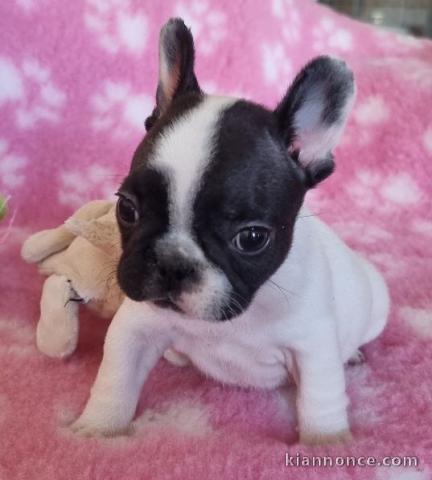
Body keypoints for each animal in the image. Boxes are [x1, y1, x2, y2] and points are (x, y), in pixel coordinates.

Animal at [72, 18, 390, 446]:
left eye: (252, 238)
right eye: (127, 208)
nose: (173, 263)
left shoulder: (313, 348)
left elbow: (320, 399)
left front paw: (326, 443)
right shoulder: (134, 329)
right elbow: (115, 379)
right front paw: (97, 430)